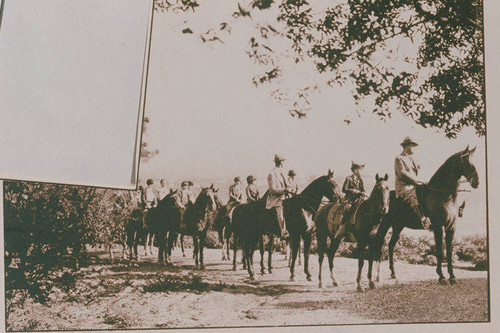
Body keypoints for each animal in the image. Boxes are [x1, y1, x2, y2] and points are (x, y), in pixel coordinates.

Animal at [376, 147, 480, 284]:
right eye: (467, 161)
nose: (477, 182)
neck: (442, 195)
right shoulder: (438, 226)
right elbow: (440, 250)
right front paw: (441, 277)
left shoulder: (451, 227)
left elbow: (449, 251)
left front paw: (452, 276)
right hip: (385, 224)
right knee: (378, 243)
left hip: (398, 226)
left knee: (391, 245)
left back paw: (393, 273)